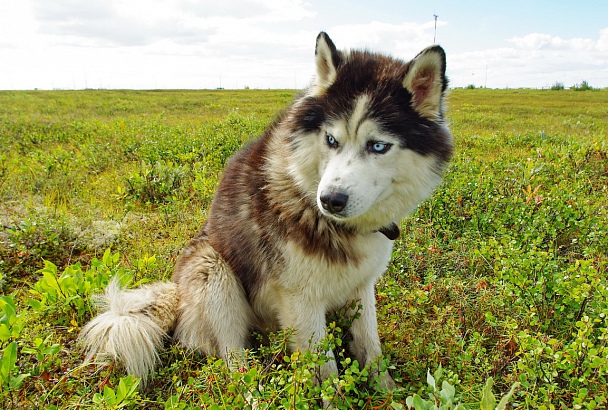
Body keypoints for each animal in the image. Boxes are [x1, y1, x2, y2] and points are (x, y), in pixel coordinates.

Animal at [79, 31, 452, 388]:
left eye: (378, 146)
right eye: (331, 140)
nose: (330, 200)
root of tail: (176, 297)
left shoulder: (362, 288)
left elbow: (371, 347)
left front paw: (389, 392)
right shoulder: (301, 300)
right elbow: (326, 372)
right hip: (214, 272)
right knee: (233, 362)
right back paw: (254, 391)